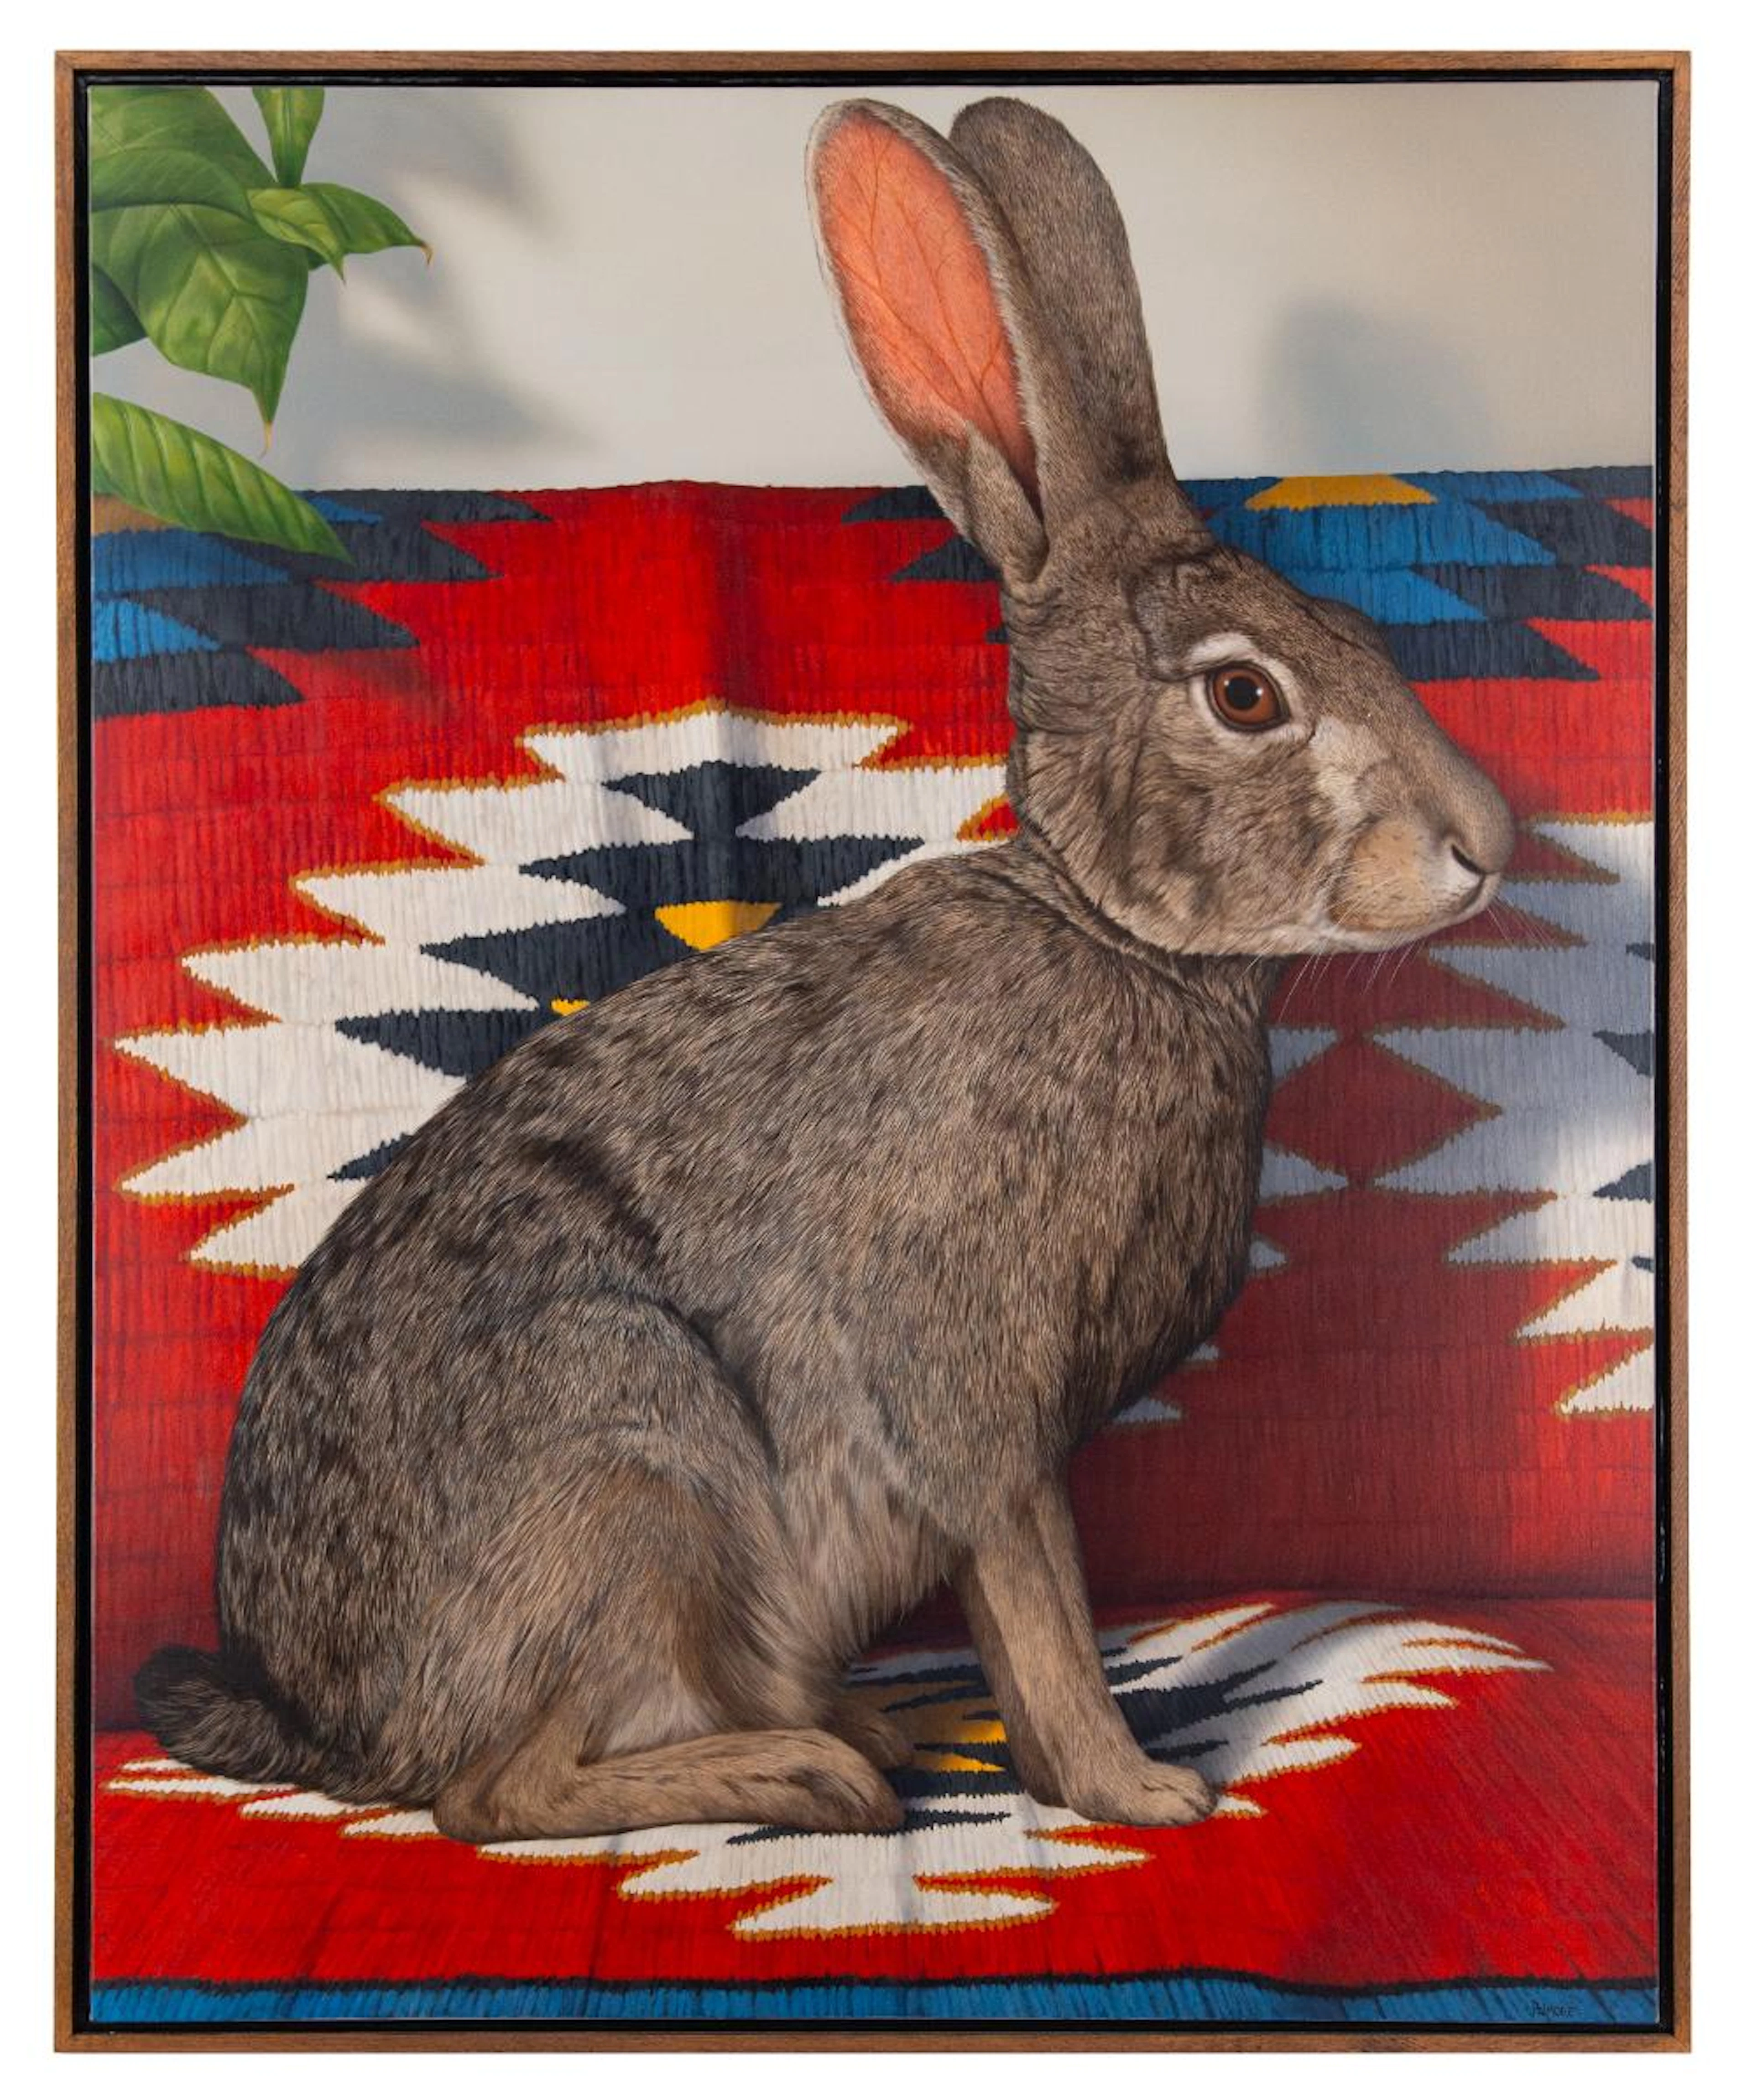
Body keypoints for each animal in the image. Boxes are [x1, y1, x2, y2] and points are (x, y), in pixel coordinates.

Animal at [135, 95, 1513, 1844]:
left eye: (1362, 633)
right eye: (1246, 696)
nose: (1487, 844)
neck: (1117, 934)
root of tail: (323, 1720)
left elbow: (1016, 1605)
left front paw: (1080, 1771)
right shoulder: (975, 1395)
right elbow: (1041, 1597)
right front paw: (1138, 1788)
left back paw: (864, 1723)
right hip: (632, 1470)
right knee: (490, 1791)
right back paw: (809, 1767)